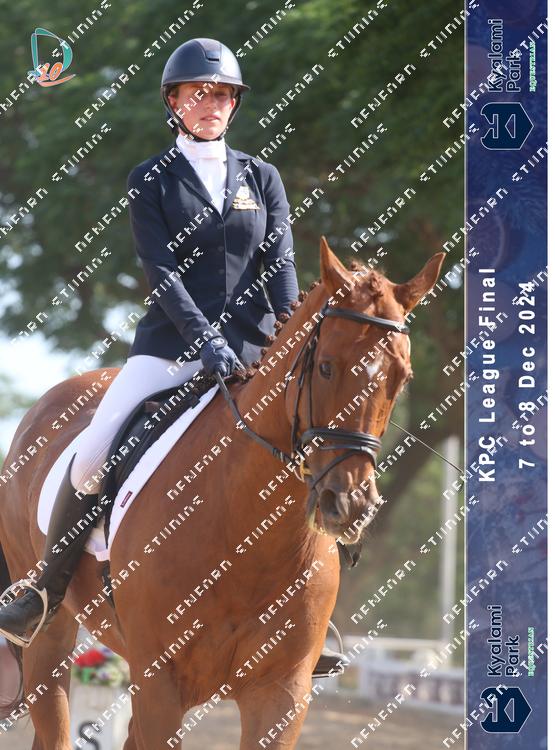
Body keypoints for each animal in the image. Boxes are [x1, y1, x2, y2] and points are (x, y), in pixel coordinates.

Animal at [0, 237, 444, 749]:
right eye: (326, 368)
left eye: (402, 378)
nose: (349, 504)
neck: (246, 531)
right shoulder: (158, 686)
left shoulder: (281, 692)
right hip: (50, 635)